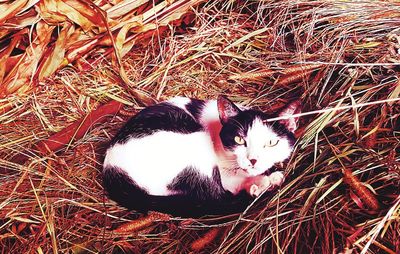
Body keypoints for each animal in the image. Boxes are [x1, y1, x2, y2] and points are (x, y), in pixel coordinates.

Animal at [103, 95, 300, 216]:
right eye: (239, 139)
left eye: (271, 142)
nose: (253, 160)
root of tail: (112, 172)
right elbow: (231, 183)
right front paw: (262, 180)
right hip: (194, 142)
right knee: (216, 197)